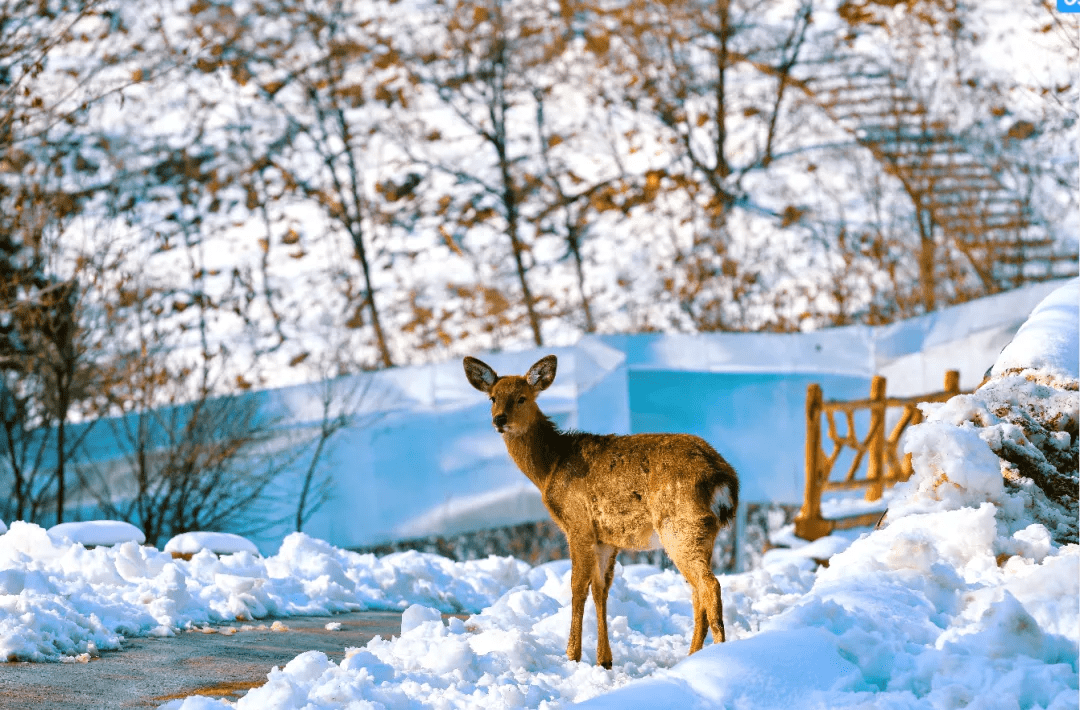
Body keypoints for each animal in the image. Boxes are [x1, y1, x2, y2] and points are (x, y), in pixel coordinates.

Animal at [460, 352, 738, 665]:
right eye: (493, 398)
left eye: (522, 398)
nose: (499, 420)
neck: (550, 468)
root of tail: (724, 478)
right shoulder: (606, 538)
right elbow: (600, 590)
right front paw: (604, 660)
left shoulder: (577, 524)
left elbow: (576, 587)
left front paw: (571, 655)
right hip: (702, 533)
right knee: (697, 590)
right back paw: (692, 656)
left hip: (680, 526)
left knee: (709, 586)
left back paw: (715, 654)